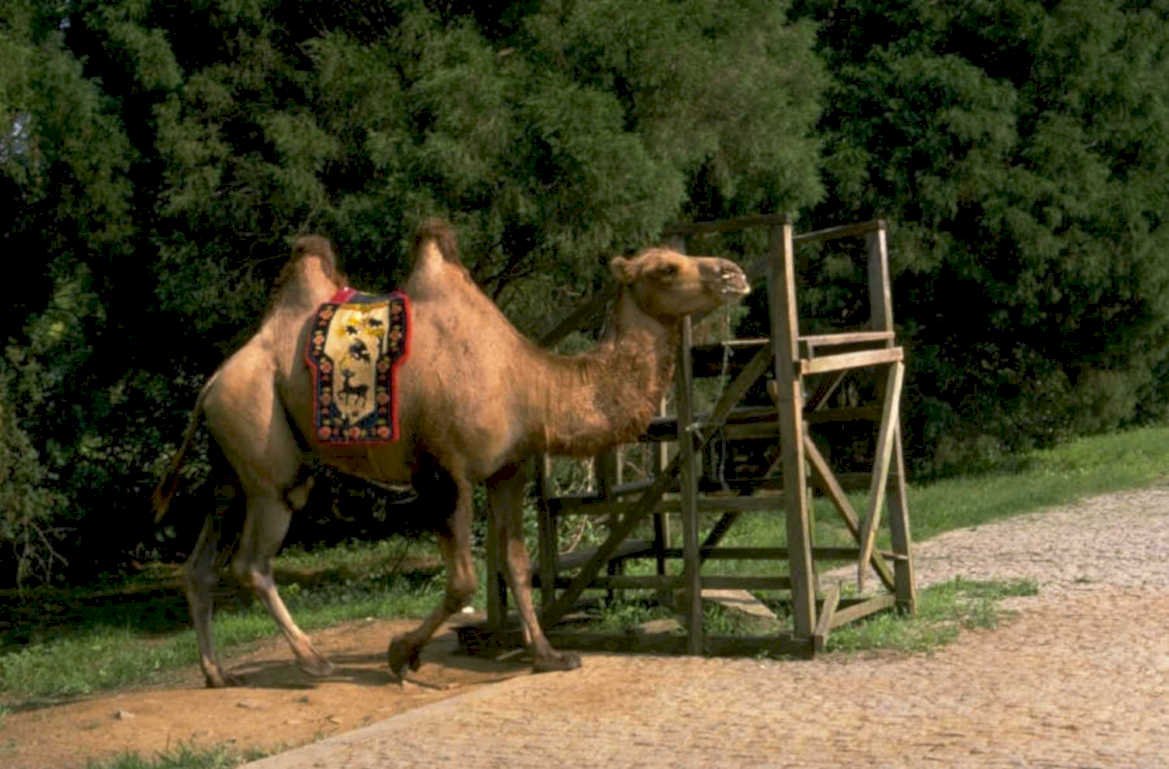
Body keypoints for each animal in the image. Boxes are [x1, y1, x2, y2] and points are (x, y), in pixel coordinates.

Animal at [153, 220, 749, 687]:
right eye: (666, 268)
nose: (733, 273)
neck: (530, 384)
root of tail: (211, 384)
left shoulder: (507, 469)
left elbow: (517, 562)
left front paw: (549, 655)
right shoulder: (443, 471)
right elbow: (463, 579)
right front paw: (401, 654)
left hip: (231, 466)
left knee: (200, 563)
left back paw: (217, 673)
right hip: (265, 449)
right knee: (251, 561)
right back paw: (314, 661)